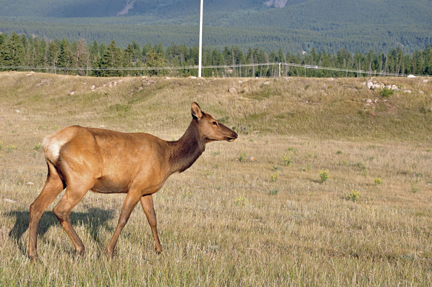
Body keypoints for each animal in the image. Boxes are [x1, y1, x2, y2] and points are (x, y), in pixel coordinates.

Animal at [28, 102, 238, 260]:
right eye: (214, 122)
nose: (234, 133)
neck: (169, 160)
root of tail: (49, 143)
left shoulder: (147, 190)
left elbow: (153, 219)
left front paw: (159, 250)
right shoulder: (136, 186)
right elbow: (123, 218)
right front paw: (109, 251)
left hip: (56, 176)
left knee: (36, 206)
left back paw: (33, 254)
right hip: (80, 178)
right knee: (60, 210)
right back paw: (80, 249)